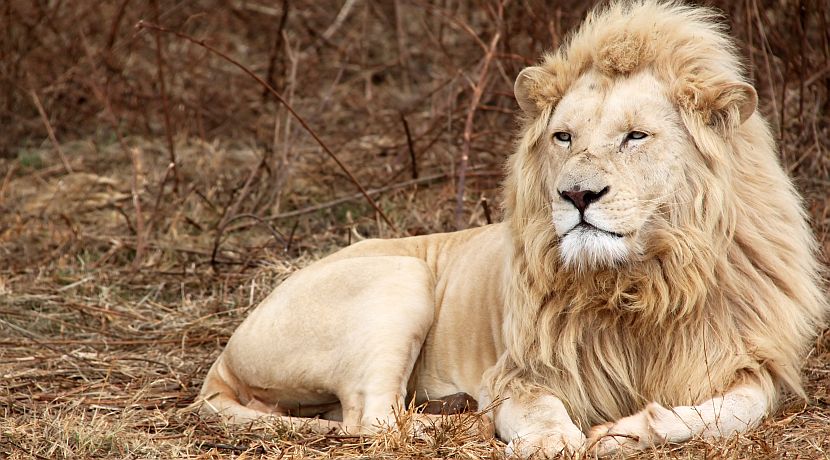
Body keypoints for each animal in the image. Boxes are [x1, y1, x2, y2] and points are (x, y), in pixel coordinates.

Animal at [199, 1, 827, 456]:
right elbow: (538, 409)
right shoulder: (522, 370)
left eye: (635, 136)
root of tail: (220, 360)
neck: (640, 284)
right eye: (563, 137)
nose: (576, 195)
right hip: (400, 279)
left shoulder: (748, 360)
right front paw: (555, 441)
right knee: (369, 419)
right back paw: (447, 426)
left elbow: (731, 412)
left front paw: (624, 433)